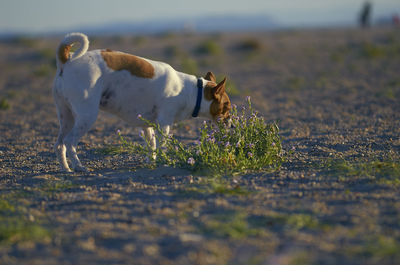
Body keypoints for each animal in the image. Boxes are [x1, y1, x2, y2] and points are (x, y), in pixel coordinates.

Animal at [54, 32, 233, 171]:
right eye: (227, 106)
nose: (232, 125)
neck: (190, 91)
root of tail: (67, 61)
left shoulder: (148, 125)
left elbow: (151, 145)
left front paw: (150, 161)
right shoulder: (164, 124)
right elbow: (161, 146)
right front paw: (163, 162)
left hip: (66, 117)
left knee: (60, 144)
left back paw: (66, 168)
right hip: (87, 116)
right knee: (70, 142)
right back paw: (78, 166)